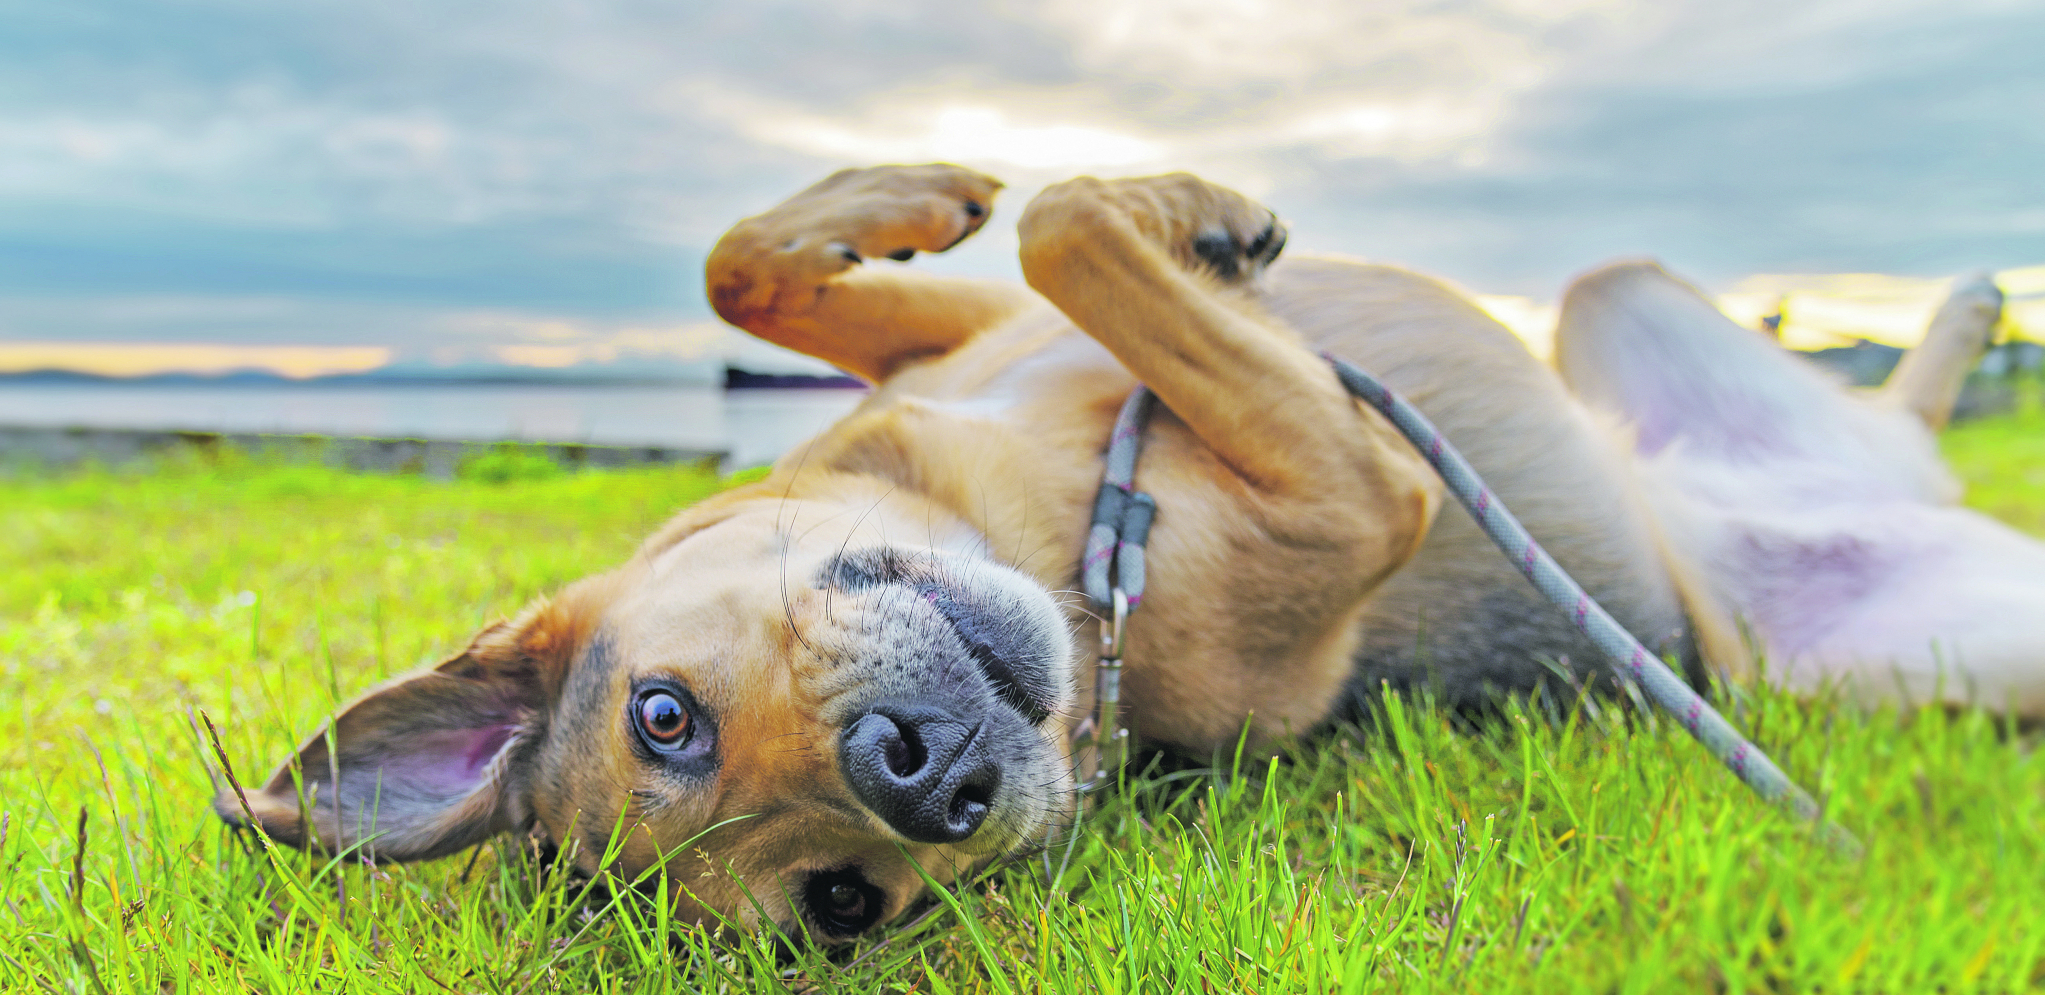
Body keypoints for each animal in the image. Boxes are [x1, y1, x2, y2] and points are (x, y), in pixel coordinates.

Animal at [211, 161, 2045, 943]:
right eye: (842, 907)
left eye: (665, 713)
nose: (920, 775)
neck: (1043, 524)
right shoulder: (1358, 490)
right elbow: (1076, 232)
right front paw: (1169, 210)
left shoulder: (967, 340)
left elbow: (783, 261)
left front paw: (933, 189)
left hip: (1615, 304)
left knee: (1884, 402)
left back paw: (1963, 312)